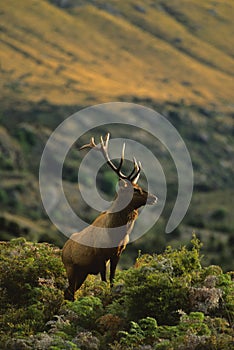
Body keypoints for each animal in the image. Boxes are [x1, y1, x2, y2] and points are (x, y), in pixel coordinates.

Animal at [61, 133, 157, 300]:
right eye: (135, 190)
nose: (154, 198)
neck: (115, 235)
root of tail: (62, 251)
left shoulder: (117, 253)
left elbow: (112, 280)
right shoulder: (99, 255)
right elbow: (104, 281)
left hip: (82, 271)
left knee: (68, 292)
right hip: (71, 267)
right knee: (69, 293)